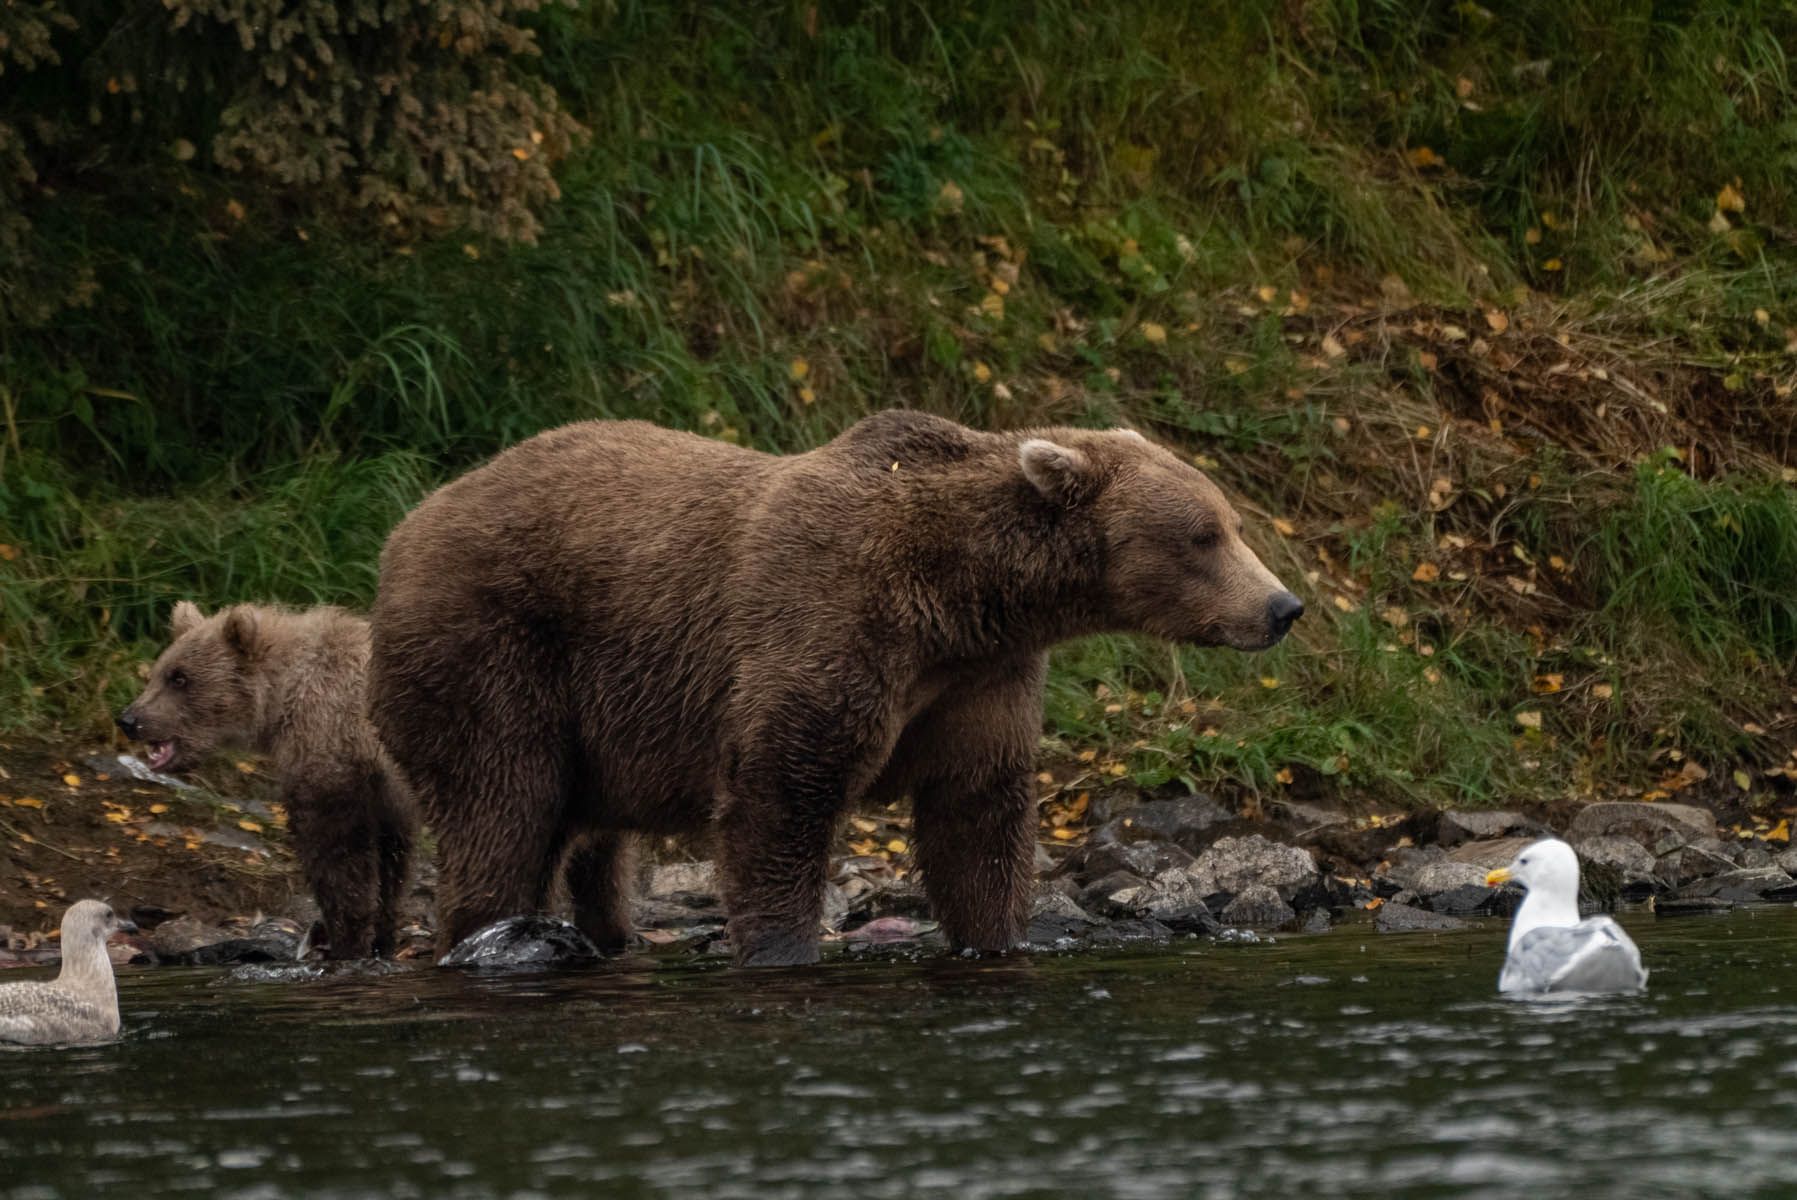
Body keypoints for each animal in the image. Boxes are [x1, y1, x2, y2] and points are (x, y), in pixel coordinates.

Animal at [368, 413, 1293, 962]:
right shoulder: (825, 619)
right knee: (503, 803)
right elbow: (781, 794)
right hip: (496, 645)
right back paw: (491, 930)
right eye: (1201, 535)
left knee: (586, 839)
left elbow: (977, 817)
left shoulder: (979, 680)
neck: (958, 593)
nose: (1282, 606)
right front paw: (782, 948)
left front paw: (995, 937)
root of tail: (405, 527)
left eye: (1229, 522)